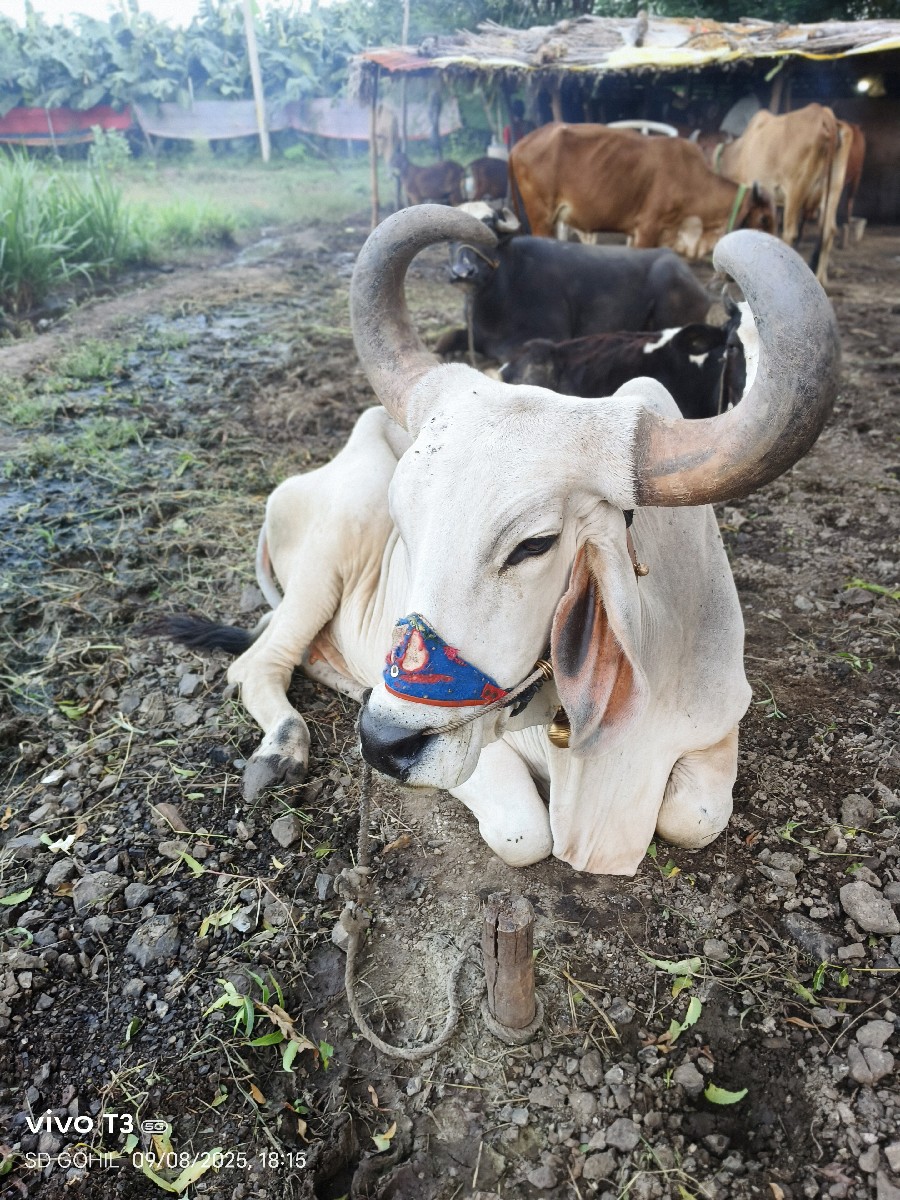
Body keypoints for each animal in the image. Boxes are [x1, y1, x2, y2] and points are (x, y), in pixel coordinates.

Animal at [714, 104, 852, 284]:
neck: (738, 153)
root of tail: (824, 113)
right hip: (834, 187)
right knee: (830, 229)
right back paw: (821, 277)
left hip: (795, 187)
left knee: (790, 232)